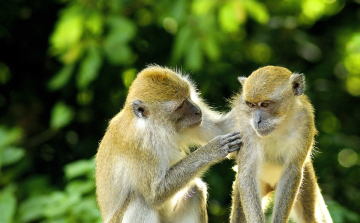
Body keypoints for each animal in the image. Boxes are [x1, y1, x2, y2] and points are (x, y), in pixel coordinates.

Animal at [95, 65, 242, 223]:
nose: (198, 111)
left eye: (188, 97)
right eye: (180, 105)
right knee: (141, 201)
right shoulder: (139, 145)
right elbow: (155, 194)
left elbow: (220, 128)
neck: (154, 127)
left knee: (195, 189)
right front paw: (213, 149)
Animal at [229, 66, 334, 223]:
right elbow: (247, 173)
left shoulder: (305, 121)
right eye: (251, 105)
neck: (280, 123)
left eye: (265, 104)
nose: (257, 121)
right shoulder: (246, 126)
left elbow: (292, 170)